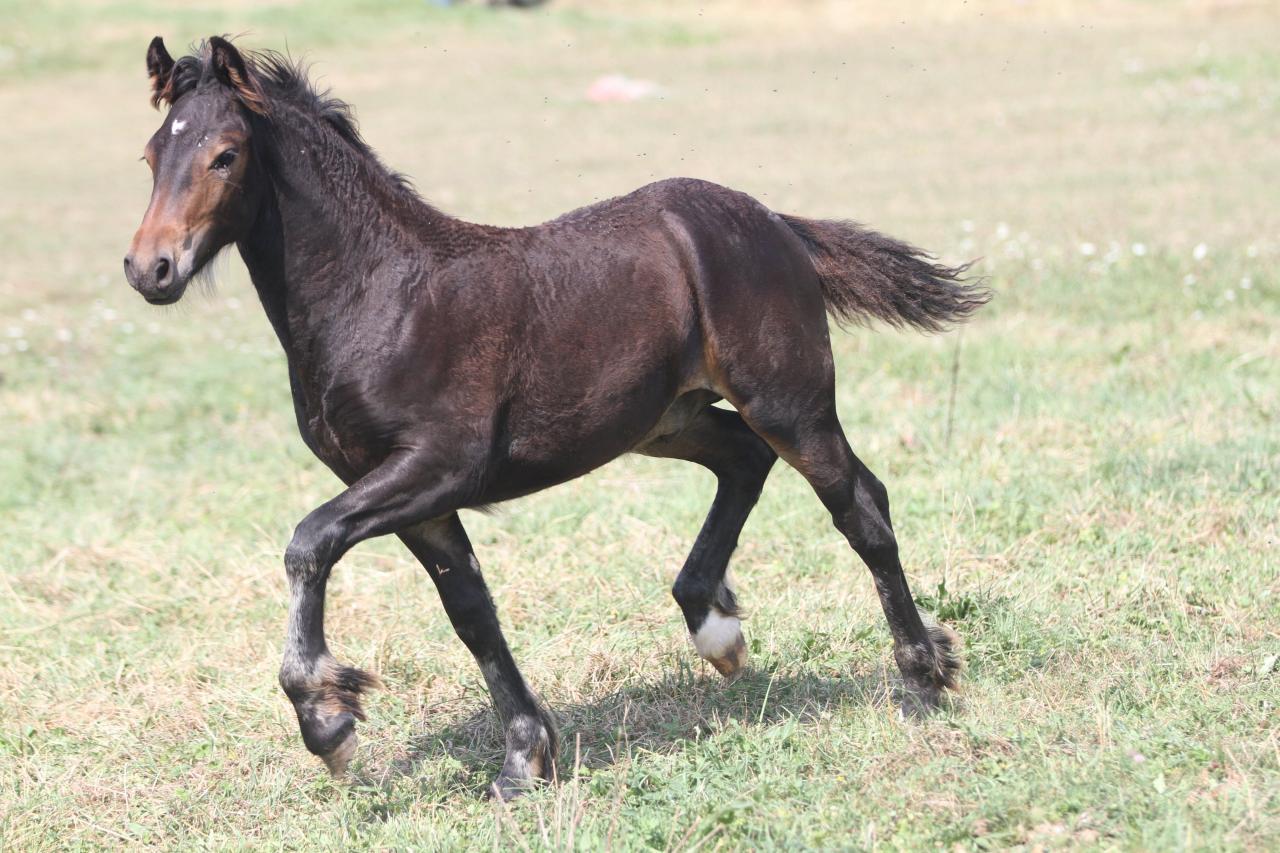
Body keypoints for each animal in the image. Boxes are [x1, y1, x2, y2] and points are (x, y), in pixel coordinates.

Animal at [124, 36, 988, 794]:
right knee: (746, 459)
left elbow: (308, 543)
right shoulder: (411, 495)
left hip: (790, 400)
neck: (382, 293)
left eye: (225, 155)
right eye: (150, 156)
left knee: (859, 505)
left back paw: (924, 673)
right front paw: (523, 759)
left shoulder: (438, 465)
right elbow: (471, 612)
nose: (149, 269)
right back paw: (716, 627)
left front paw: (327, 719)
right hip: (666, 419)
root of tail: (773, 222)